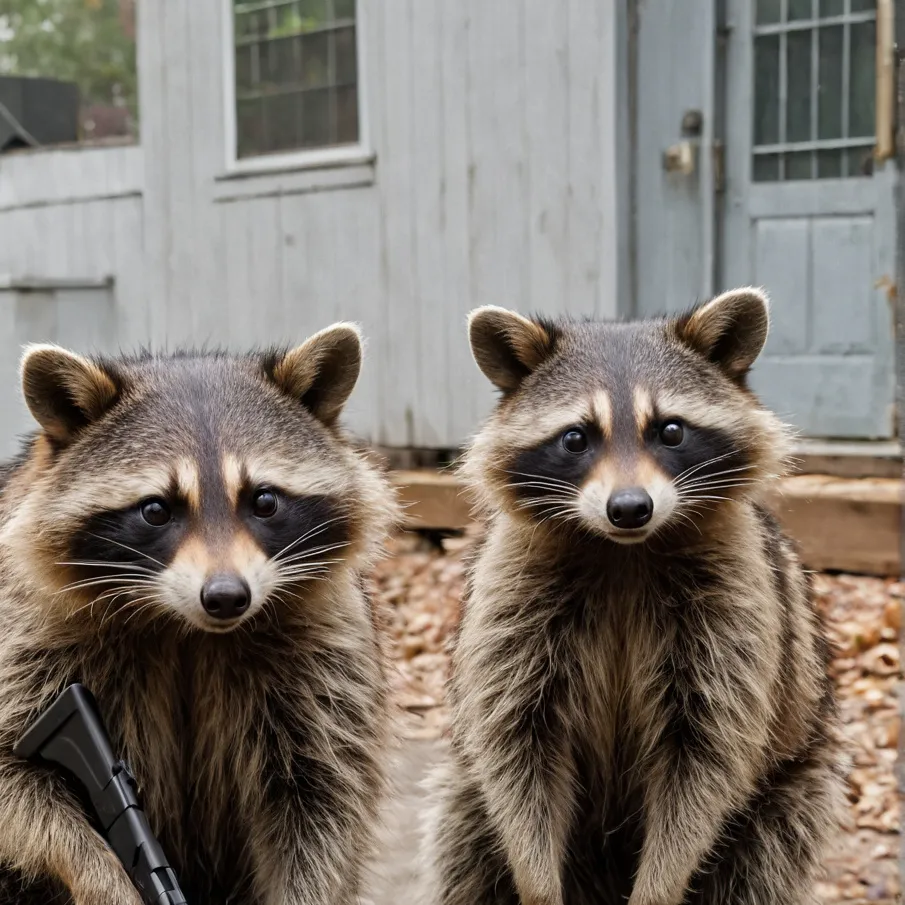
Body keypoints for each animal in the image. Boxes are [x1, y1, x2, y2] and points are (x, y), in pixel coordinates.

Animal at [0, 325, 396, 905]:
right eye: (156, 509)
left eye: (264, 500)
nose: (227, 596)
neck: (185, 627)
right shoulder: (27, 628)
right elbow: (15, 779)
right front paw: (101, 875)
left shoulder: (326, 644)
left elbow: (322, 796)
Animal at [424, 290, 846, 905]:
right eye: (576, 438)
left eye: (670, 431)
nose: (629, 508)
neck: (624, 551)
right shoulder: (511, 600)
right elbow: (516, 749)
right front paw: (537, 884)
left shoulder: (738, 605)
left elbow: (705, 761)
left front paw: (661, 885)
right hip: (464, 794)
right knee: (464, 827)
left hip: (792, 788)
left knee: (768, 854)